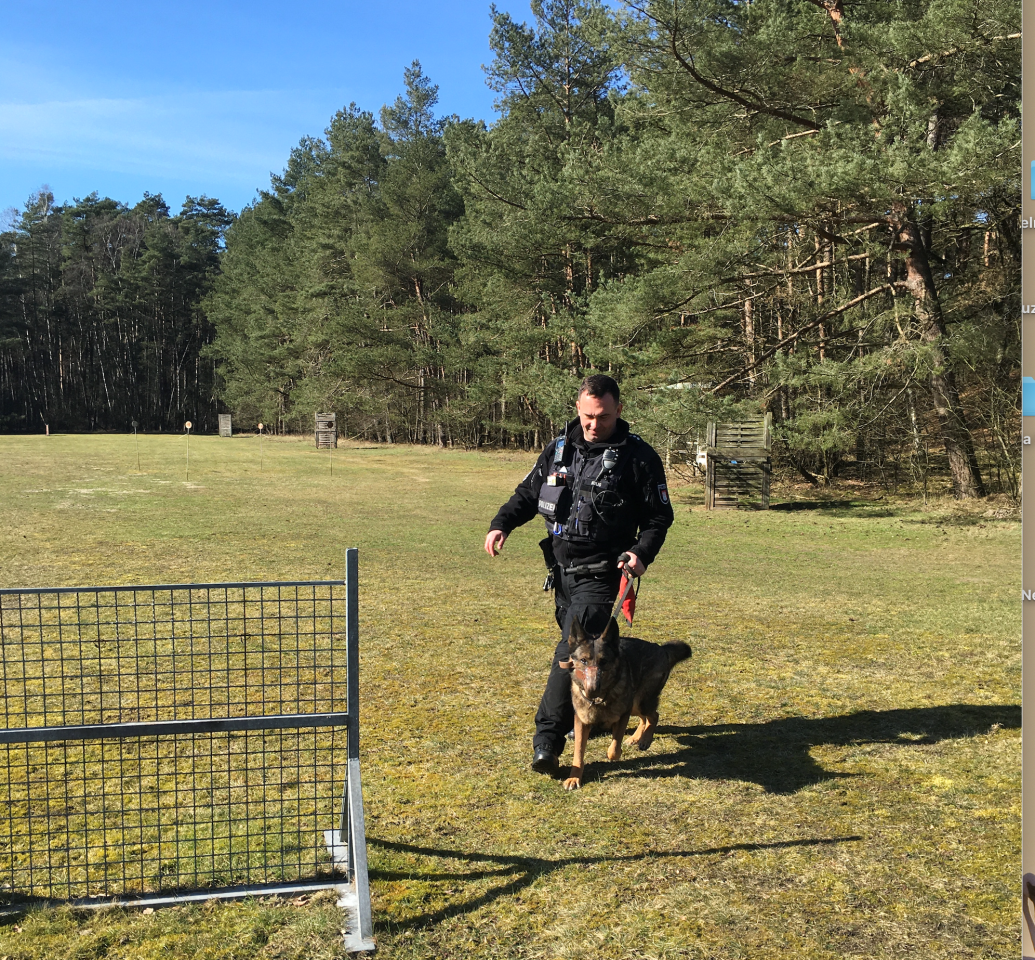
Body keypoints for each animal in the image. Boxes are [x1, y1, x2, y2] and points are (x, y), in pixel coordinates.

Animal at [563, 620, 691, 790]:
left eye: (604, 661)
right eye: (583, 661)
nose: (592, 690)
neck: (600, 699)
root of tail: (661, 649)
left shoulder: (623, 715)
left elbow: (614, 748)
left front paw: (614, 753)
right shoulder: (582, 723)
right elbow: (578, 753)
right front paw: (574, 778)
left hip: (640, 702)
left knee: (654, 716)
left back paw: (645, 740)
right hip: (636, 705)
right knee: (644, 718)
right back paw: (636, 738)